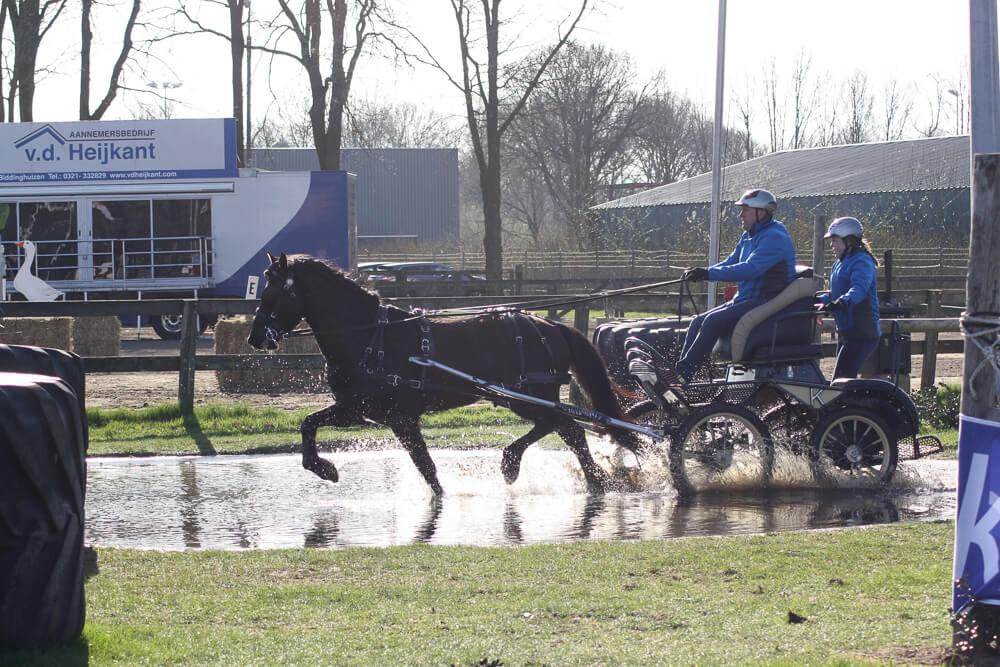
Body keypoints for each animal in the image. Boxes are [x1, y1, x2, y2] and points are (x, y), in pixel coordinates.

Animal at [246, 252, 643, 496]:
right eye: (262, 289)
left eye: (277, 292)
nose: (254, 338)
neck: (369, 335)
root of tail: (550, 324)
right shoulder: (357, 410)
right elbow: (308, 424)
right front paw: (323, 468)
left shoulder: (400, 418)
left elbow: (426, 467)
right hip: (521, 397)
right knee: (564, 427)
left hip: (529, 396)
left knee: (567, 428)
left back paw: (550, 471)